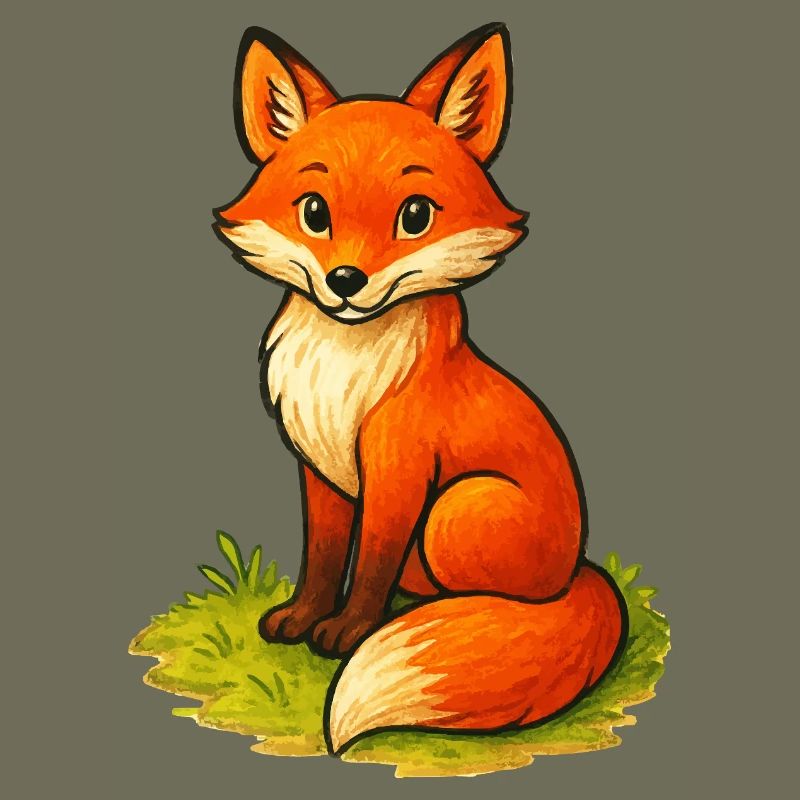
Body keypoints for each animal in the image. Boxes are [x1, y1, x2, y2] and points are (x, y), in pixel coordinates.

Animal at [213, 23, 627, 757]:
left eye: (414, 216)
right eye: (314, 212)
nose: (345, 281)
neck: (344, 370)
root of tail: (580, 570)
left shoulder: (399, 468)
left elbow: (372, 561)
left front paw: (348, 634)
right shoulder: (318, 468)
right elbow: (324, 556)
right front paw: (303, 618)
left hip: (456, 511)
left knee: (489, 597)